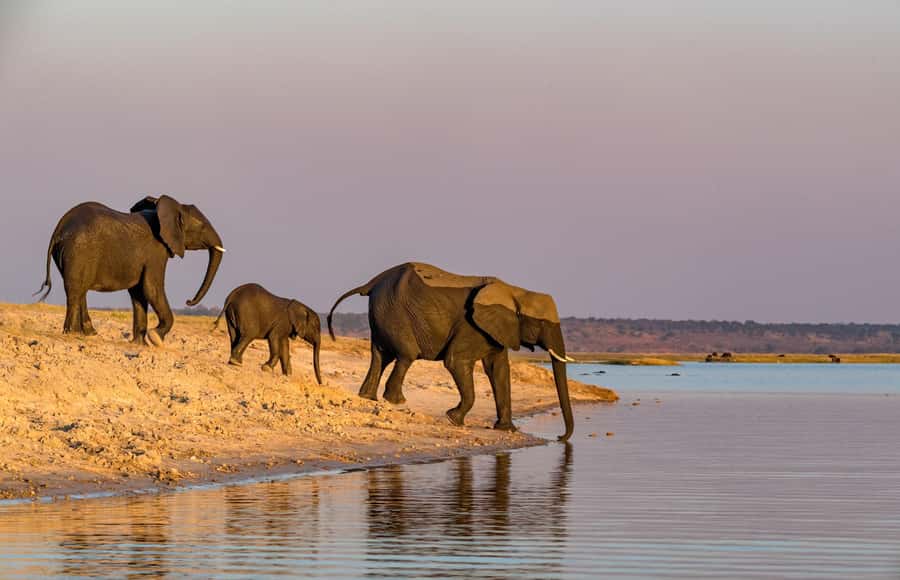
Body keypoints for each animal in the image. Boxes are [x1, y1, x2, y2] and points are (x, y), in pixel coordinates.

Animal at [36, 195, 225, 345]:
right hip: (79, 250)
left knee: (80, 289)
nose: (188, 301)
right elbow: (151, 289)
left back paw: (89, 333)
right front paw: (155, 338)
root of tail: (59, 229)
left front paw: (140, 343)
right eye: (202, 226)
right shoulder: (156, 250)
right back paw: (73, 333)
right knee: (76, 290)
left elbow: (139, 292)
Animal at [327, 262, 576, 441]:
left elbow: (498, 370)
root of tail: (372, 282)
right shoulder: (471, 325)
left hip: (383, 311)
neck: (516, 292)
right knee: (406, 354)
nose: (559, 437)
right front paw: (453, 419)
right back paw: (396, 401)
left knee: (382, 355)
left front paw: (506, 429)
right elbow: (456, 362)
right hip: (394, 311)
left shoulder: (495, 330)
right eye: (543, 324)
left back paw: (368, 397)